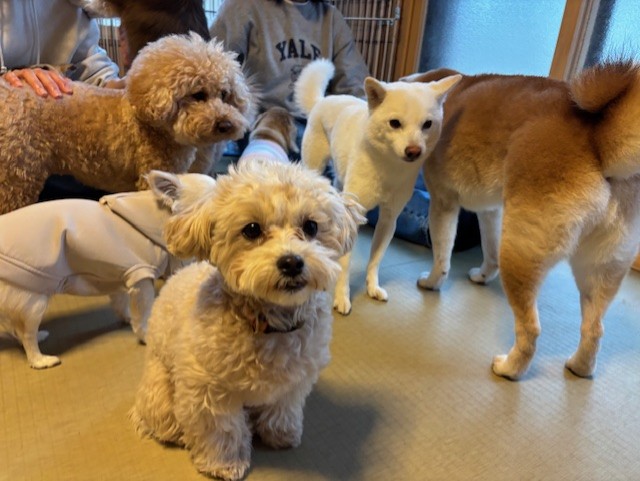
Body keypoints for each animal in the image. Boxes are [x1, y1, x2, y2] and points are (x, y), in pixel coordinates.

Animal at [0, 170, 215, 369]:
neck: (158, 219)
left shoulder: (119, 275)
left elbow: (121, 303)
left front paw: (127, 318)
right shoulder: (141, 277)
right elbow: (143, 313)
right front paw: (144, 335)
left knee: (17, 328)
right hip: (33, 299)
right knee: (27, 334)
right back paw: (40, 359)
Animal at [129, 159, 366, 480]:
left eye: (311, 226)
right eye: (252, 229)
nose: (292, 262)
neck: (270, 325)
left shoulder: (293, 383)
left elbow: (283, 409)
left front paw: (281, 435)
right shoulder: (208, 391)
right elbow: (222, 430)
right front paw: (223, 464)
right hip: (160, 394)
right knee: (162, 418)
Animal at [294, 58, 460, 314]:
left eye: (427, 124)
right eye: (395, 123)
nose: (414, 151)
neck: (389, 167)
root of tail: (324, 99)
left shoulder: (389, 219)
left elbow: (375, 260)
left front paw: (372, 287)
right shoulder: (354, 217)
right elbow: (346, 264)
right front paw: (342, 297)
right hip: (315, 167)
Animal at [407, 61, 640, 380]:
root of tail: (599, 140)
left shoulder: (443, 203)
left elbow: (442, 258)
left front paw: (431, 283)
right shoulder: (491, 211)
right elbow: (489, 252)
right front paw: (482, 276)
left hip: (521, 254)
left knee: (531, 330)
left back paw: (510, 368)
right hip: (602, 269)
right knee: (594, 330)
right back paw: (580, 367)